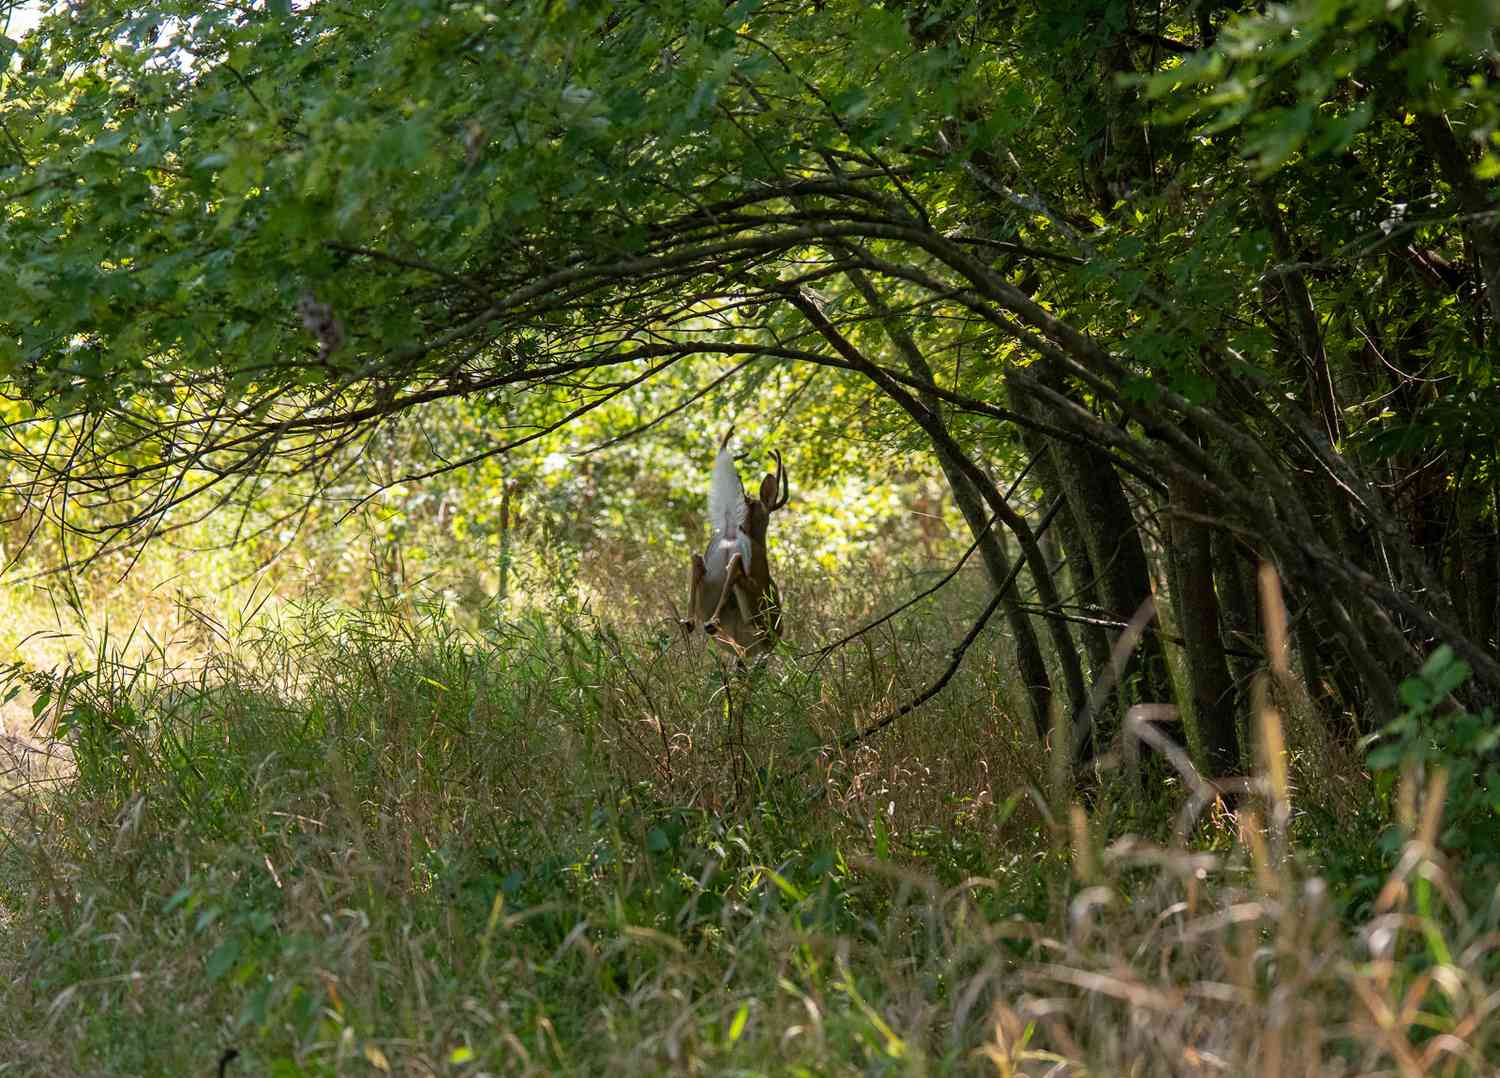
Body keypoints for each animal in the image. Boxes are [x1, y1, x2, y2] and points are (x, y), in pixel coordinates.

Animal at [684, 428, 792, 656]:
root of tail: (732, 532)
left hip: (709, 584)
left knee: (697, 560)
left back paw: (689, 621)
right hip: (754, 611)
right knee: (736, 564)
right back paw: (711, 623)